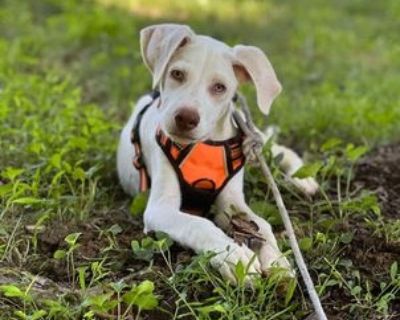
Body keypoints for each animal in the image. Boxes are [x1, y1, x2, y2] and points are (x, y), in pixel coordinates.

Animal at [116, 23, 318, 282]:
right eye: (177, 74)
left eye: (220, 87)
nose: (186, 118)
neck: (205, 144)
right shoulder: (160, 209)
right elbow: (198, 224)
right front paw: (234, 256)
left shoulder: (232, 202)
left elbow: (261, 224)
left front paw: (275, 258)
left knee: (279, 149)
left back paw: (302, 178)